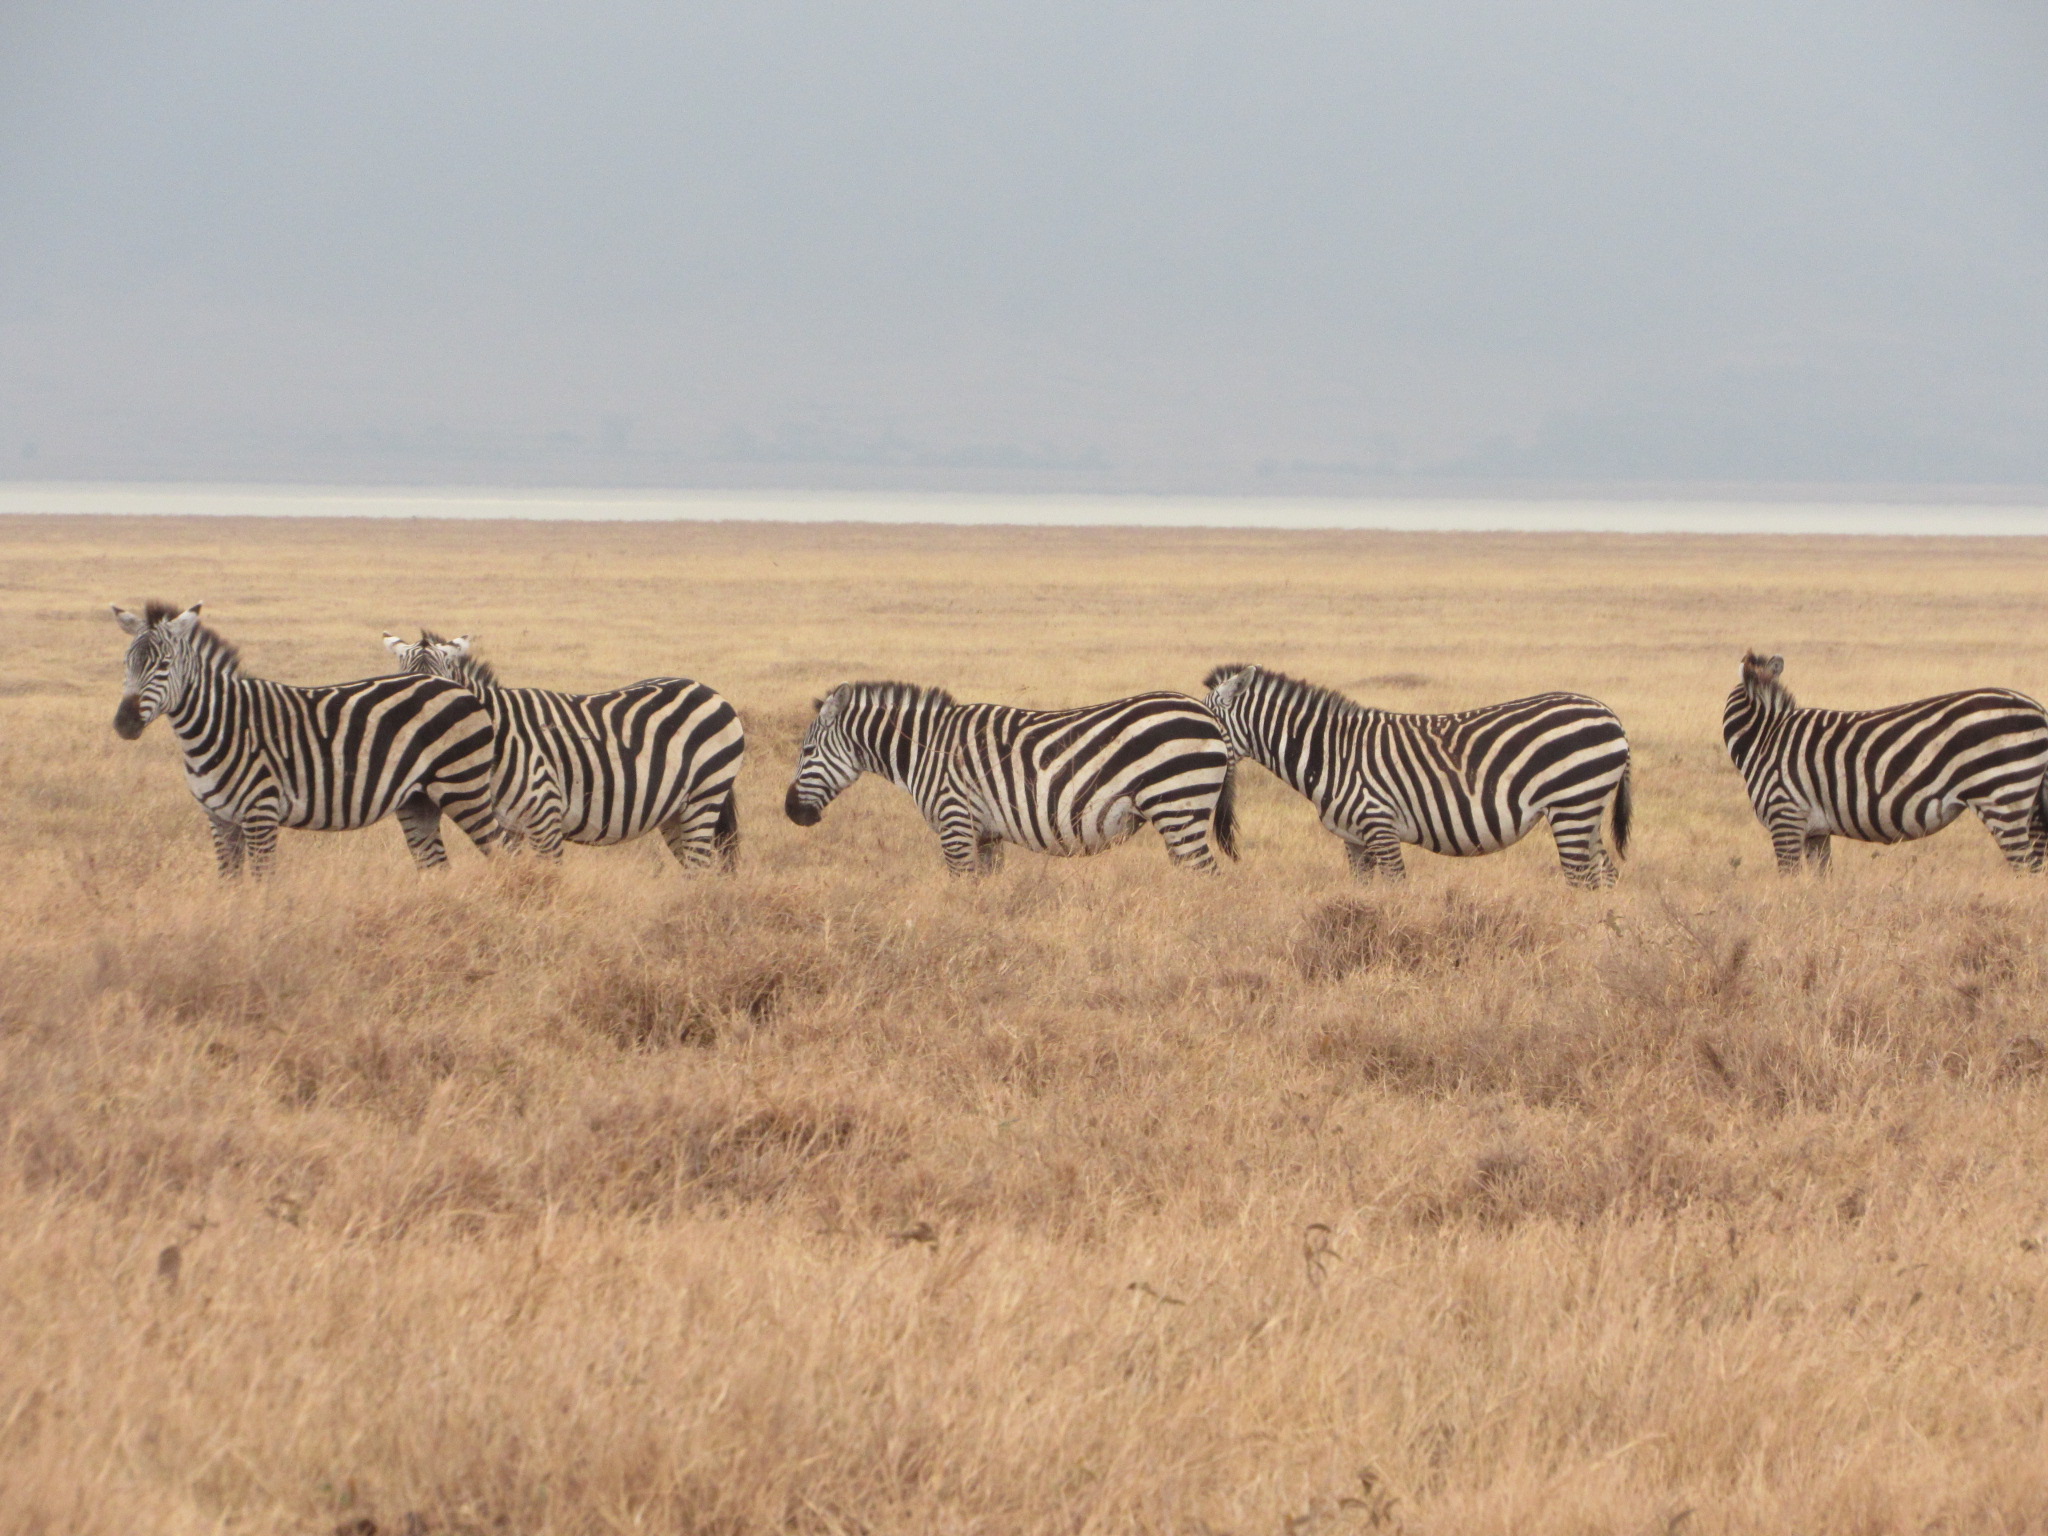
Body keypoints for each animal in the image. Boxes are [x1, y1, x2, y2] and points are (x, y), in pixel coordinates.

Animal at [111, 598, 503, 872]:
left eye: (164, 665)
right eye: (127, 662)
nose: (124, 723)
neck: (220, 724)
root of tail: (456, 687)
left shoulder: (261, 813)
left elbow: (262, 882)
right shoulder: (219, 817)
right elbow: (230, 883)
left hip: (463, 787)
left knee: (502, 850)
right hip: (418, 799)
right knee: (436, 864)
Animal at [378, 630, 745, 872]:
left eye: (443, 690)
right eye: (401, 687)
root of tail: (703, 687)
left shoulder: (545, 818)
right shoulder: (508, 826)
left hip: (705, 795)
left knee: (700, 866)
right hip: (673, 811)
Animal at [778, 679, 1228, 872]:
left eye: (806, 752)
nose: (791, 812)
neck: (927, 748)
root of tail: (1206, 715)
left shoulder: (955, 822)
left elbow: (962, 886)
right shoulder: (986, 833)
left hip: (1178, 805)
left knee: (1203, 873)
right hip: (1178, 813)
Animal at [1196, 663, 1630, 888]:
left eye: (1204, 719)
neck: (1330, 753)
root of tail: (1609, 713)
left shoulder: (1380, 826)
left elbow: (1396, 888)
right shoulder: (1354, 839)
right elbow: (1363, 895)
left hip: (1572, 804)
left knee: (1581, 876)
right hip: (1586, 809)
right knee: (1605, 873)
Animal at [1728, 651, 2048, 876]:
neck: (1765, 735)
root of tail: (2039, 709)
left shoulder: (1785, 816)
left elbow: (1789, 878)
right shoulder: (1816, 831)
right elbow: (1821, 880)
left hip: (2002, 795)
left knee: (2025, 867)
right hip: (2030, 802)